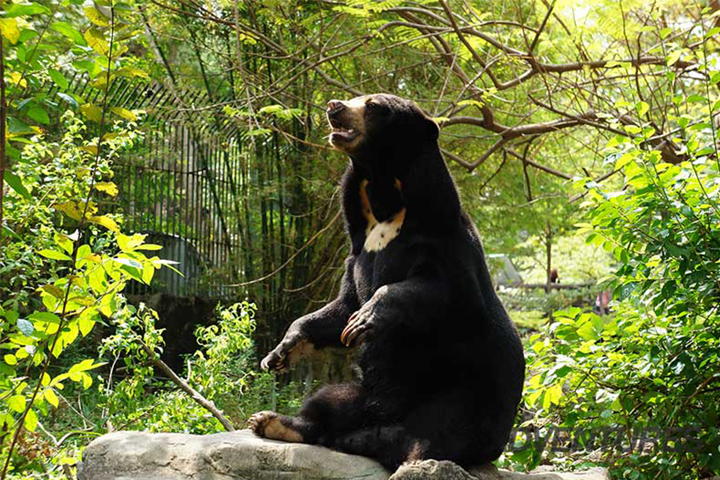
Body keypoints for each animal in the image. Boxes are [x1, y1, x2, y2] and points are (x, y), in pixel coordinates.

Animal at [248, 94, 525, 471]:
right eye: (354, 98)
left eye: (374, 106)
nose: (334, 106)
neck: (385, 201)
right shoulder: (356, 251)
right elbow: (342, 308)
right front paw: (279, 353)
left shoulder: (443, 246)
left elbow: (438, 290)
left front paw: (365, 320)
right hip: (360, 395)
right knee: (327, 404)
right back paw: (272, 422)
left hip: (470, 395)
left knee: (442, 434)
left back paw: (416, 461)